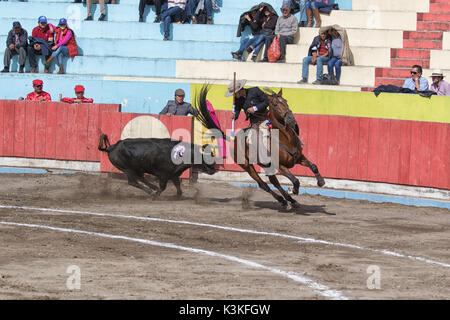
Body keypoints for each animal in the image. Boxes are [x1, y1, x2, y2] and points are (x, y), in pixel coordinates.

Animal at [195, 85, 326, 208]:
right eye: (275, 104)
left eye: (285, 101)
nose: (291, 119)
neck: (285, 139)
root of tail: (234, 139)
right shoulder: (280, 166)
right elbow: (295, 180)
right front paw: (294, 190)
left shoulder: (299, 158)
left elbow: (313, 166)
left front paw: (321, 181)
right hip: (247, 166)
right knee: (263, 184)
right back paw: (283, 200)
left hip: (266, 166)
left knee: (274, 182)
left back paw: (290, 201)